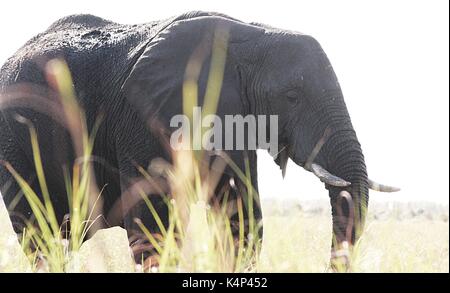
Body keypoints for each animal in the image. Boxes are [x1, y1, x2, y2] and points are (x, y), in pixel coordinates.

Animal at [1, 11, 400, 266]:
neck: (252, 37)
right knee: (39, 234)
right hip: (15, 145)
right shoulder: (146, 117)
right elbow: (153, 223)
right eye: (291, 97)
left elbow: (240, 215)